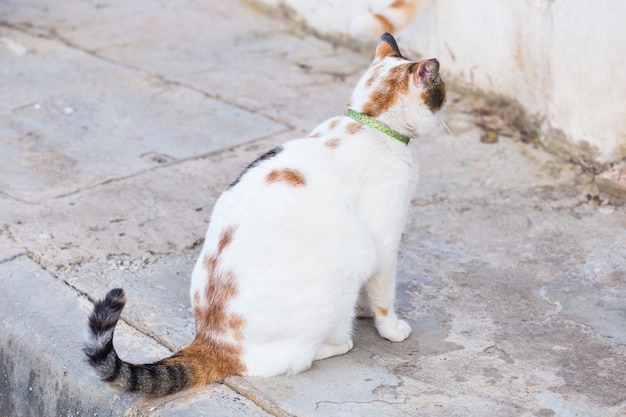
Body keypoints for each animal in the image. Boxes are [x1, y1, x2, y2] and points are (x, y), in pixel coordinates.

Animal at [84, 33, 444, 396]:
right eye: (442, 91)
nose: (448, 115)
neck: (371, 123)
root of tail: (212, 340)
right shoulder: (383, 243)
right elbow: (383, 294)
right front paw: (390, 327)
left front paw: (364, 309)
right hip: (336, 282)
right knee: (296, 357)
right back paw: (337, 342)